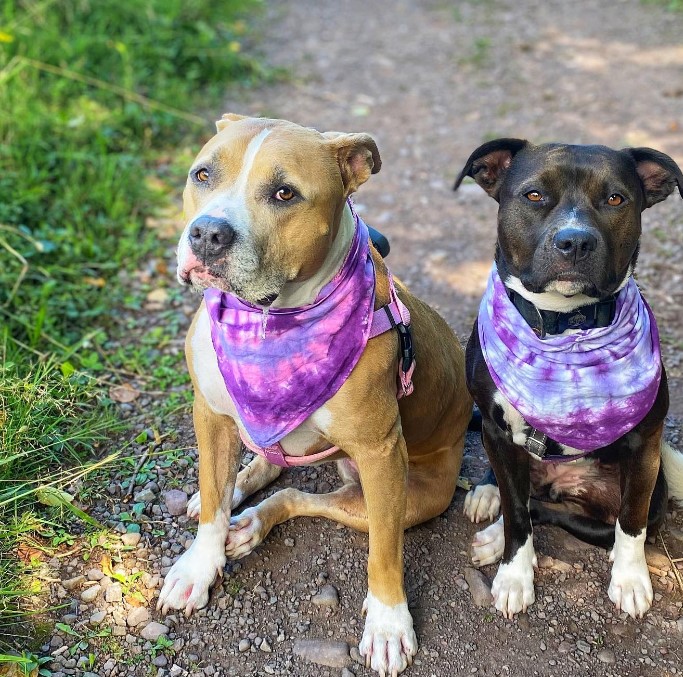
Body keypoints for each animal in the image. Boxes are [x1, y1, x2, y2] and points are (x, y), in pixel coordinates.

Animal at [158, 113, 472, 672]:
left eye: (285, 193)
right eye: (202, 175)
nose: (208, 234)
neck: (272, 321)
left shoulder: (380, 453)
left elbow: (385, 553)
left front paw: (388, 622)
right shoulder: (210, 416)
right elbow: (214, 506)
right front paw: (198, 565)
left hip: (406, 497)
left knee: (298, 497)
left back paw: (251, 522)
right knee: (267, 469)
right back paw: (239, 497)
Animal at [454, 140, 683, 620]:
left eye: (615, 198)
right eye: (534, 195)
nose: (575, 240)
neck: (564, 325)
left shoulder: (645, 447)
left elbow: (630, 523)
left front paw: (631, 579)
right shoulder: (497, 433)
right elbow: (517, 514)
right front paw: (514, 575)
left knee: (554, 510)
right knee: (520, 497)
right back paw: (488, 499)